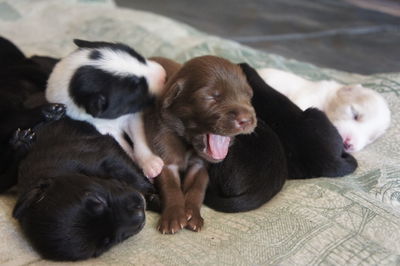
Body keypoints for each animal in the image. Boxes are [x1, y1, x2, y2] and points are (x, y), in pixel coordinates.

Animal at [46, 39, 166, 179]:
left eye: (138, 56)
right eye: (137, 89)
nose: (164, 74)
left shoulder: (131, 115)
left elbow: (138, 135)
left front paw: (149, 162)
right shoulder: (102, 127)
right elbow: (123, 147)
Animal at [144, 55, 256, 233]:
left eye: (248, 96)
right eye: (212, 97)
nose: (246, 120)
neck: (188, 143)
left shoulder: (200, 166)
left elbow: (196, 189)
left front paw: (193, 215)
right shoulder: (165, 155)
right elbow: (171, 187)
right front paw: (173, 217)